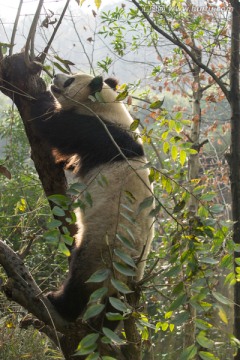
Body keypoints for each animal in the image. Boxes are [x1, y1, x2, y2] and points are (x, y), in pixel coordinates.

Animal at [31, 72, 155, 326]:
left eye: (70, 79)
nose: (55, 76)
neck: (108, 108)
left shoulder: (98, 133)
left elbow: (55, 126)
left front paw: (36, 94)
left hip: (103, 248)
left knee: (81, 277)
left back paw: (59, 302)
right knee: (113, 308)